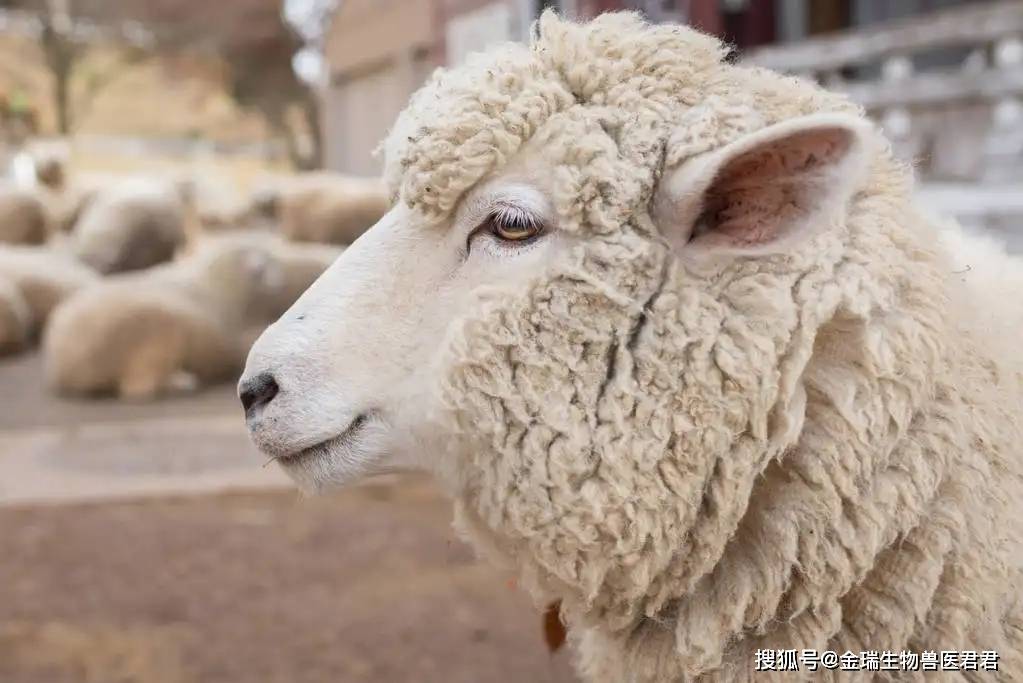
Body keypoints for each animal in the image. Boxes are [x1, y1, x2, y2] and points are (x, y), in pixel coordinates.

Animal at [46, 233, 341, 400]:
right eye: (265, 262)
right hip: (152, 328)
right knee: (138, 387)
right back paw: (183, 381)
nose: (276, 277)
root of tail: (64, 365)